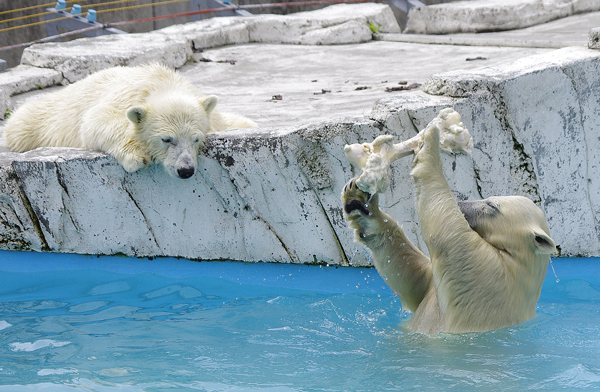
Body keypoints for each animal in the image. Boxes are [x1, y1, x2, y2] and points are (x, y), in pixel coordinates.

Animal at [4, 63, 258, 179]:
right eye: (167, 139)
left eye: (197, 139)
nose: (185, 170)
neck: (162, 82)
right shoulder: (123, 97)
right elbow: (95, 120)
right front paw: (137, 156)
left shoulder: (213, 118)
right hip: (39, 119)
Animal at [342, 123, 556, 334]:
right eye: (489, 197)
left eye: (491, 205)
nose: (460, 204)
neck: (519, 262)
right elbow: (411, 274)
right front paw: (359, 204)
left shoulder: (486, 271)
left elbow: (445, 231)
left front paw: (430, 139)